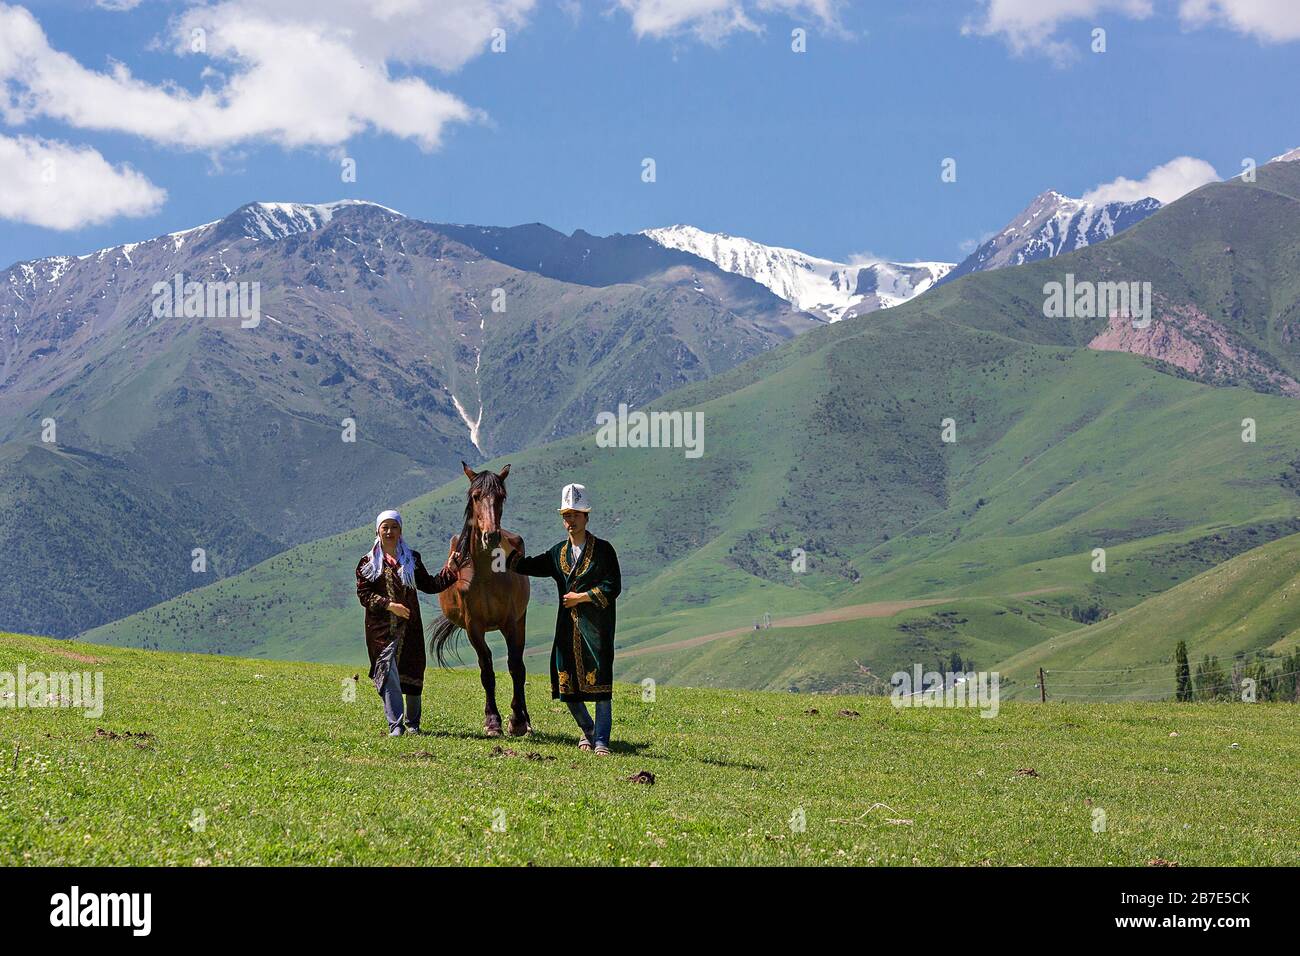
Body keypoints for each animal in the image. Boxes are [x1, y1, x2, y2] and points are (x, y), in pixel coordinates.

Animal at [426, 468, 527, 738]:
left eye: (501, 496)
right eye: (475, 496)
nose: (491, 535)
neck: (486, 574)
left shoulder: (510, 623)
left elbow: (515, 667)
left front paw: (517, 721)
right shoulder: (474, 627)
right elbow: (486, 670)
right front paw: (493, 721)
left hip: (521, 622)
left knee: (520, 666)